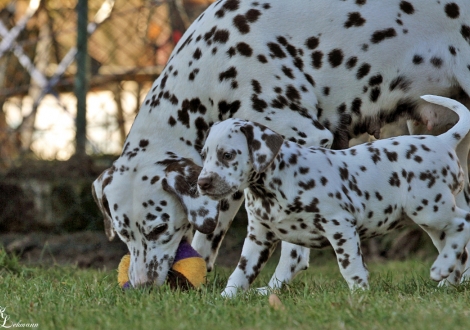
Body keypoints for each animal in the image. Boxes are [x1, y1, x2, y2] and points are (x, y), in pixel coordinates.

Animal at [196, 96, 470, 296]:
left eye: (228, 155)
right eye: (205, 154)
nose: (202, 183)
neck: (276, 184)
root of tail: (443, 141)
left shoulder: (340, 225)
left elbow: (349, 265)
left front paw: (360, 294)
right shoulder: (259, 237)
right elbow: (240, 273)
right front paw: (226, 298)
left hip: (430, 210)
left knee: (463, 223)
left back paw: (440, 270)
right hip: (434, 223)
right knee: (458, 248)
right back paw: (446, 281)